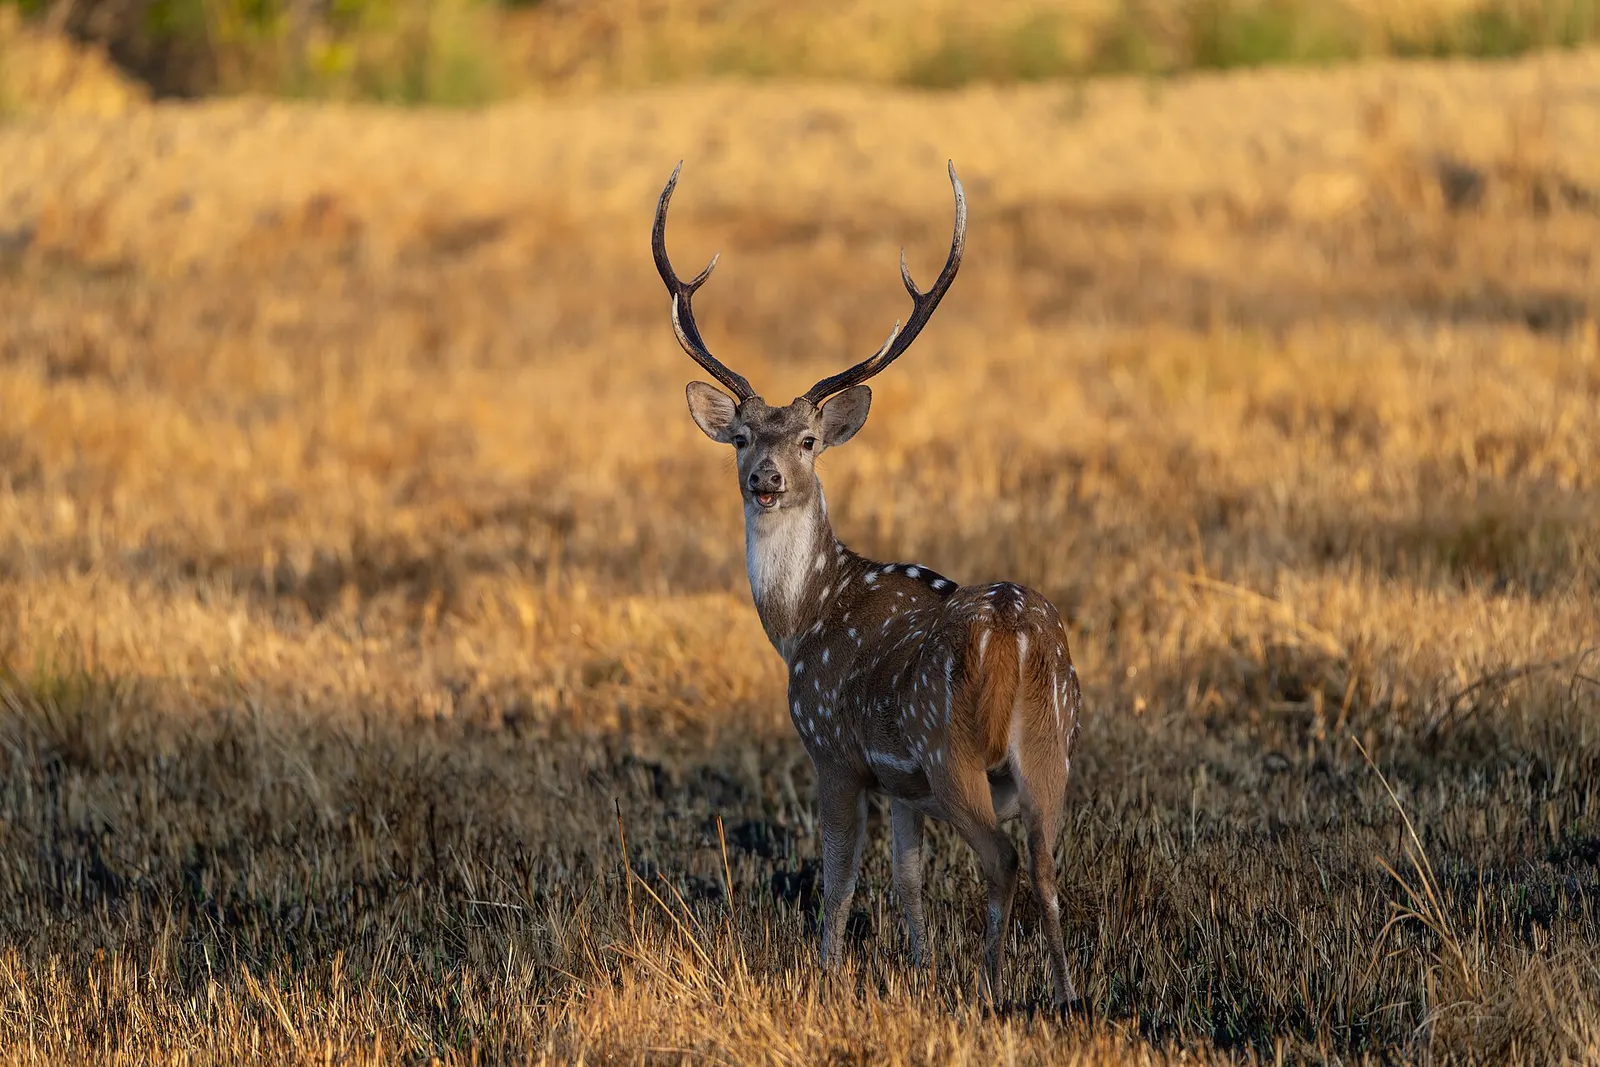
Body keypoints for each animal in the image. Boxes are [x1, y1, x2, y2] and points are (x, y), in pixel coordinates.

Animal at [653, 160, 1084, 1011]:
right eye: (742, 435)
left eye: (809, 439)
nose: (765, 478)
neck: (804, 619)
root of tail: (1017, 634)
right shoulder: (904, 786)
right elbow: (908, 881)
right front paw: (918, 969)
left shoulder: (833, 747)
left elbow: (840, 879)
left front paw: (823, 976)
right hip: (1050, 746)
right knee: (1049, 864)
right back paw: (1064, 992)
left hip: (950, 745)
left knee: (1003, 859)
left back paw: (990, 989)